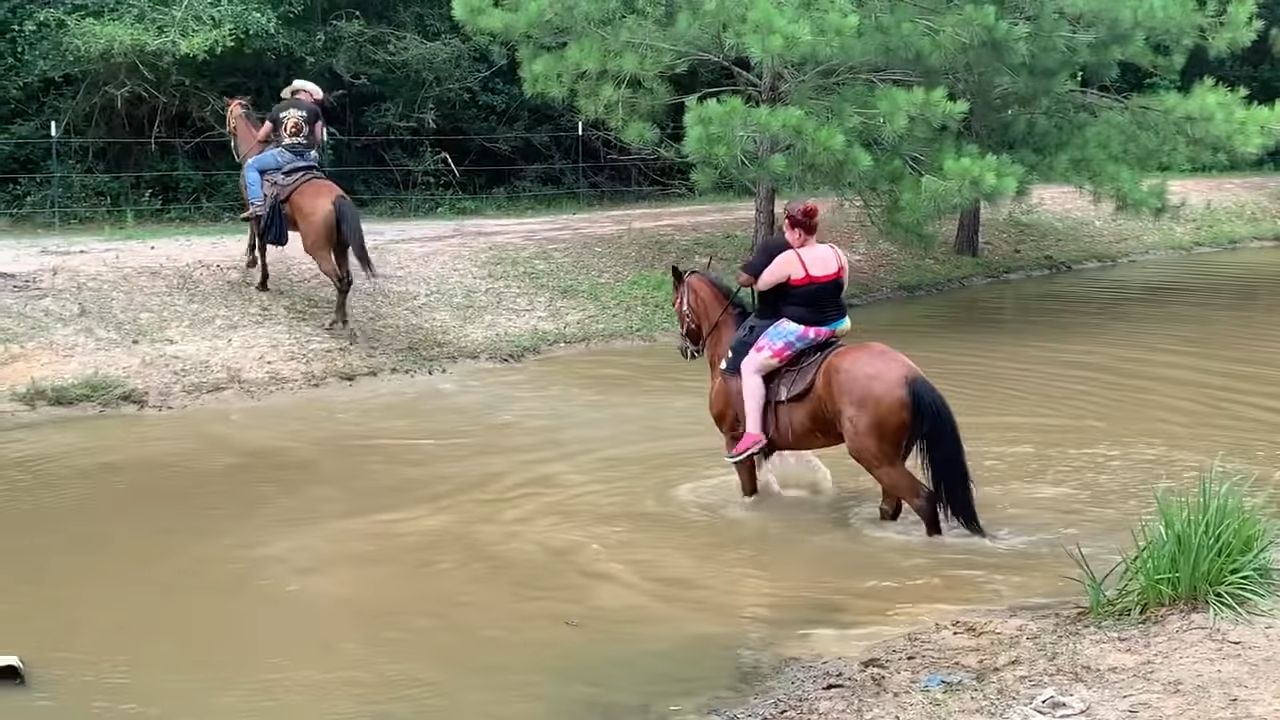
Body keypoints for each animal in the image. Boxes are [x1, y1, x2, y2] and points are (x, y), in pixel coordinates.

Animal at [222, 96, 373, 330]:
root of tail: (337, 197)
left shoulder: (253, 208)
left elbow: (260, 243)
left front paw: (260, 277)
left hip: (318, 249)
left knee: (339, 281)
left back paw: (333, 321)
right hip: (340, 246)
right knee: (347, 280)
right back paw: (344, 320)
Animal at [675, 266, 983, 535]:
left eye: (676, 304)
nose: (684, 348)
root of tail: (910, 374)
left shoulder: (734, 440)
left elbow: (750, 493)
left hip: (874, 456)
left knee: (923, 500)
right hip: (893, 456)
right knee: (891, 505)